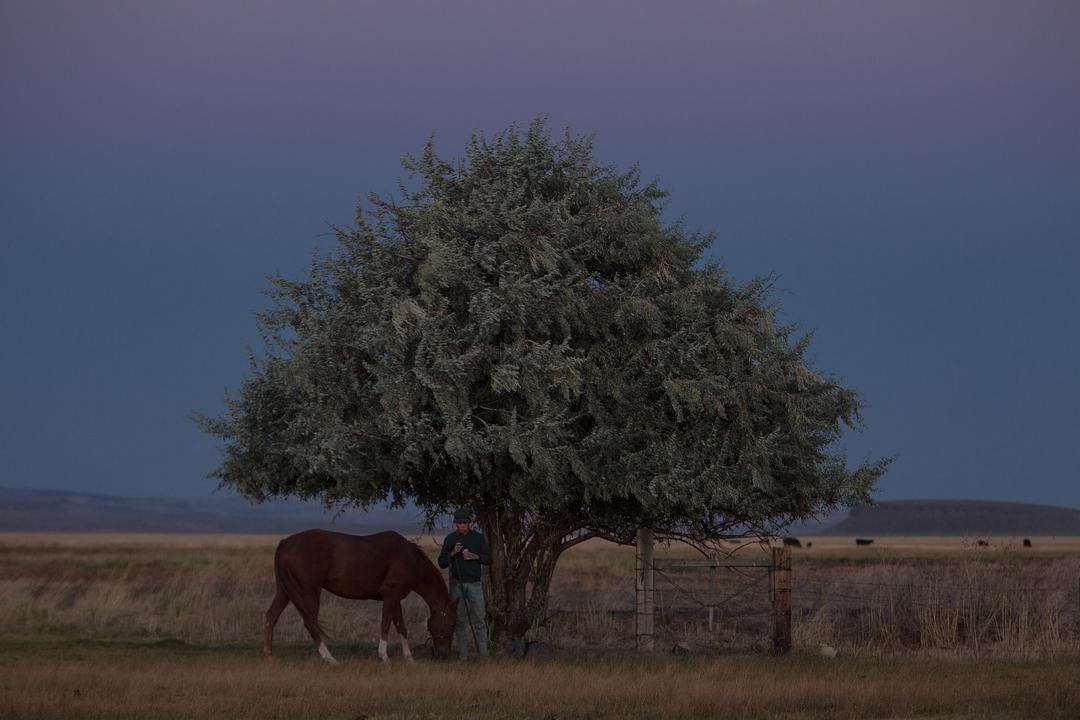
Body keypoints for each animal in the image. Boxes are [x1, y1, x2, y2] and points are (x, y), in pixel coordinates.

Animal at [268, 528, 460, 664]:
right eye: (452, 624)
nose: (444, 655)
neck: (410, 559)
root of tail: (284, 543)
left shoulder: (395, 598)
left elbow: (401, 627)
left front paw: (409, 659)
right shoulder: (391, 596)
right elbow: (385, 625)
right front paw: (384, 657)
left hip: (284, 592)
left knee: (272, 615)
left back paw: (269, 654)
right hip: (309, 593)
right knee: (310, 623)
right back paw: (330, 659)